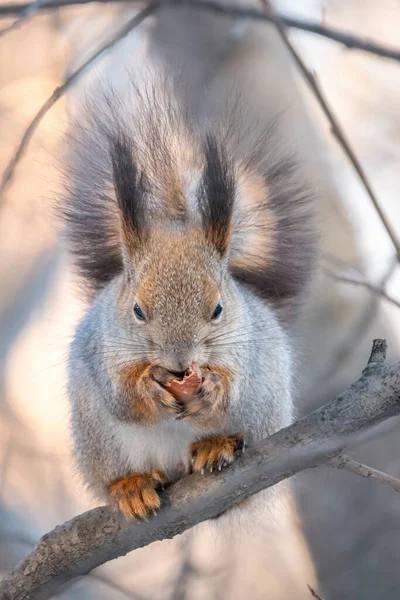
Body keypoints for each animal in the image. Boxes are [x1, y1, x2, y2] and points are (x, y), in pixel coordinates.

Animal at [60, 72, 316, 516]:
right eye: (137, 310)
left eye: (217, 309)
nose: (180, 364)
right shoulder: (101, 348)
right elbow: (122, 395)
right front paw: (147, 385)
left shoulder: (244, 348)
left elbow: (232, 386)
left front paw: (213, 388)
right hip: (98, 440)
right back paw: (131, 486)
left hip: (265, 411)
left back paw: (216, 445)